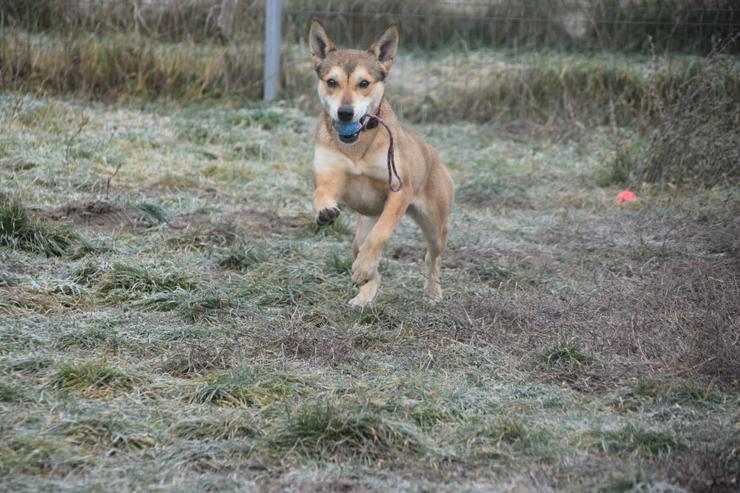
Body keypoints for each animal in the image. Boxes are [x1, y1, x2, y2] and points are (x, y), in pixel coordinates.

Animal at [308, 21, 454, 306]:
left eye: (364, 83)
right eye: (332, 82)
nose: (345, 113)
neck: (357, 146)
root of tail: (432, 154)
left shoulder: (398, 191)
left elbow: (381, 233)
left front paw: (364, 266)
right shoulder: (330, 175)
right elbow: (321, 193)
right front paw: (325, 212)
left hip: (435, 226)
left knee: (432, 256)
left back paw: (432, 291)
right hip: (361, 230)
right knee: (367, 258)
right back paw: (363, 295)